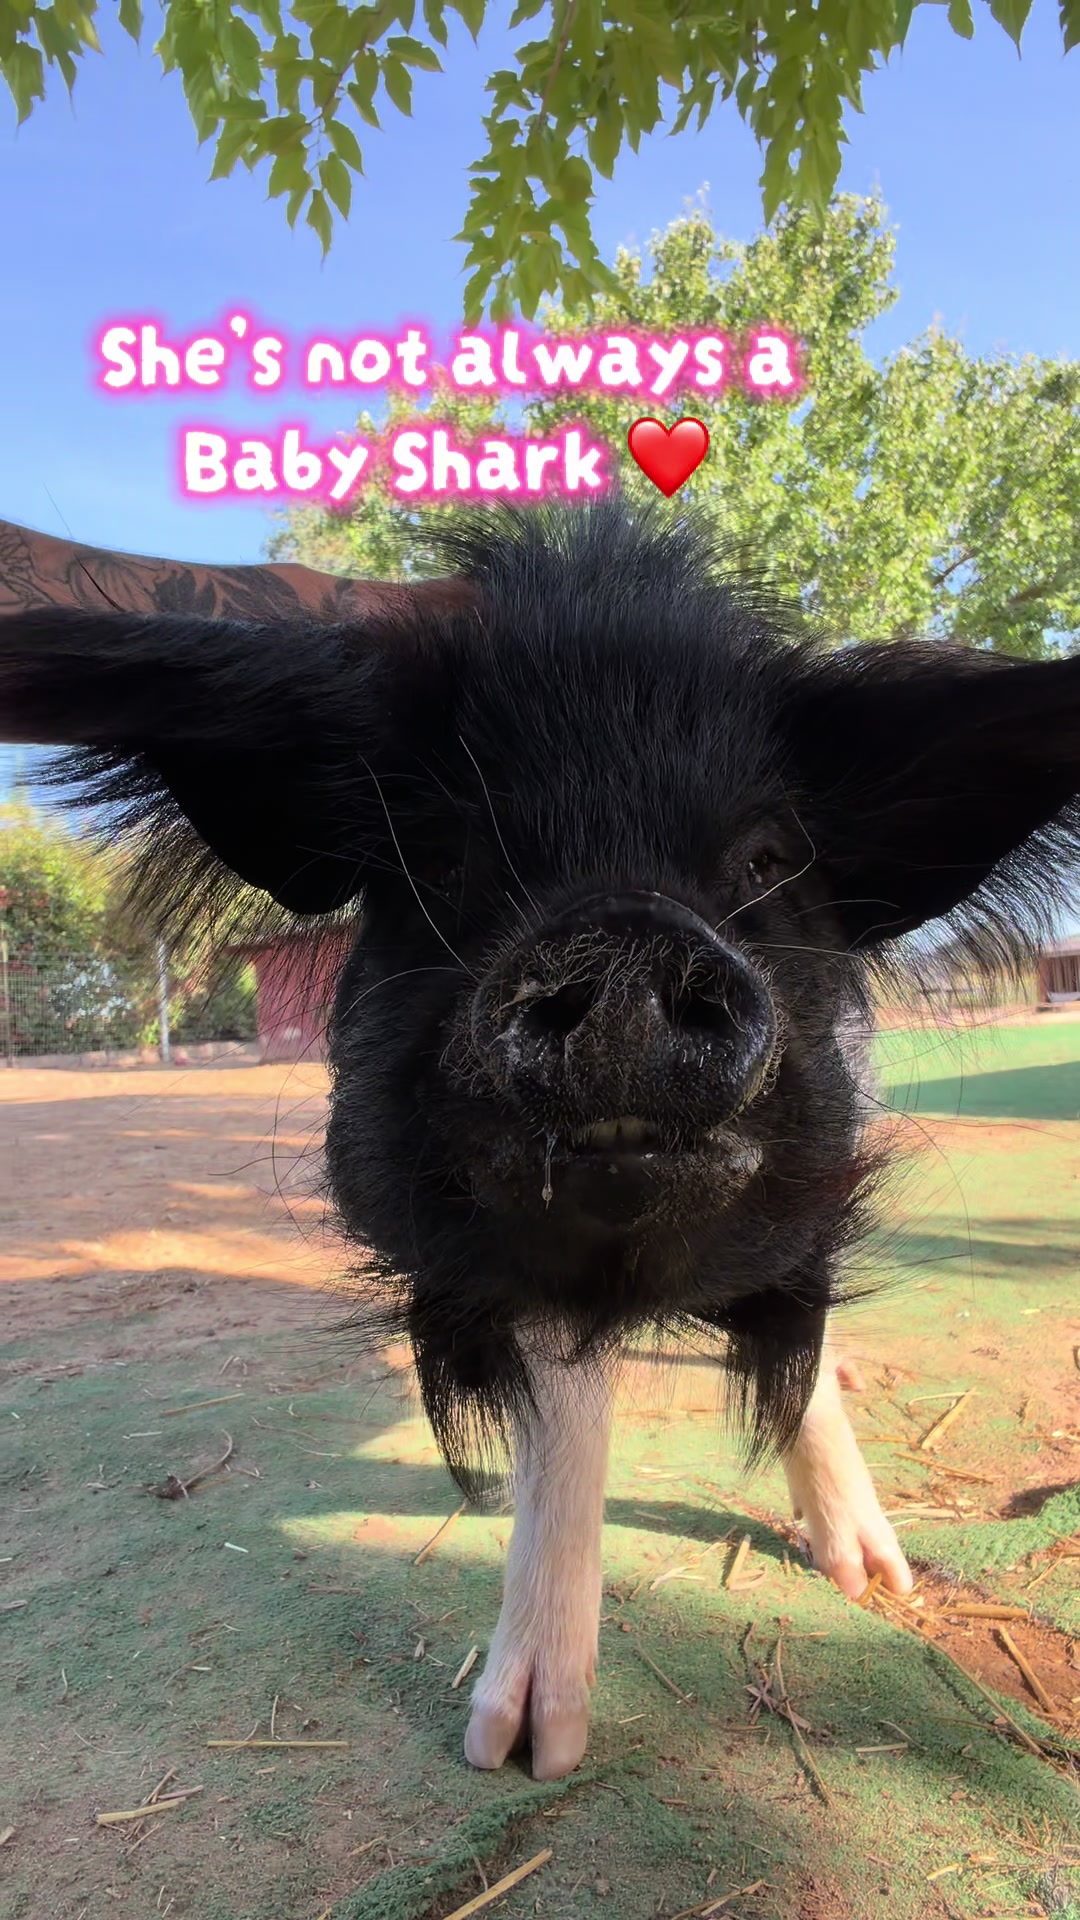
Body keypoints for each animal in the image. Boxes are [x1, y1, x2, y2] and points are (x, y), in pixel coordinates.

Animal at [3, 498, 1079, 1781]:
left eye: (767, 858)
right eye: (446, 858)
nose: (623, 939)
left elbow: (798, 1349)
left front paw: (877, 1585)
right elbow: (569, 1414)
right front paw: (520, 1751)